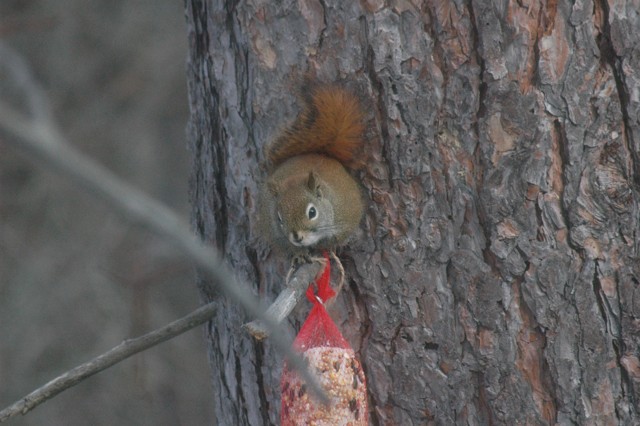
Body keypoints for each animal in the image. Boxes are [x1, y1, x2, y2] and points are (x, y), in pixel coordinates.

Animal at [258, 85, 365, 257]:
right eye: (279, 218)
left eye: (312, 212)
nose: (297, 237)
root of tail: (320, 153)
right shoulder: (276, 235)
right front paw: (300, 254)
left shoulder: (348, 214)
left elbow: (341, 235)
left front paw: (330, 244)